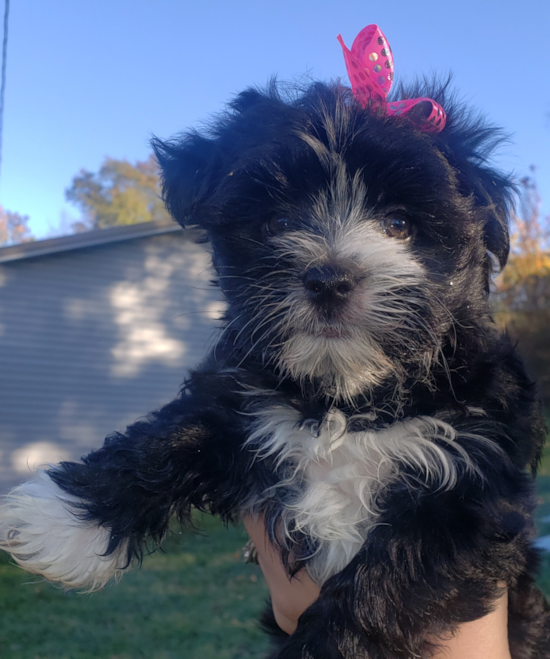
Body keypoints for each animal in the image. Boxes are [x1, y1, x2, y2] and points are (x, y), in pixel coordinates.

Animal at [1, 25, 550, 659]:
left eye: (400, 225)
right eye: (278, 221)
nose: (330, 277)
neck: (345, 399)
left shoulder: (472, 486)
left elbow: (386, 582)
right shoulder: (242, 397)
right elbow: (174, 432)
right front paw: (61, 520)